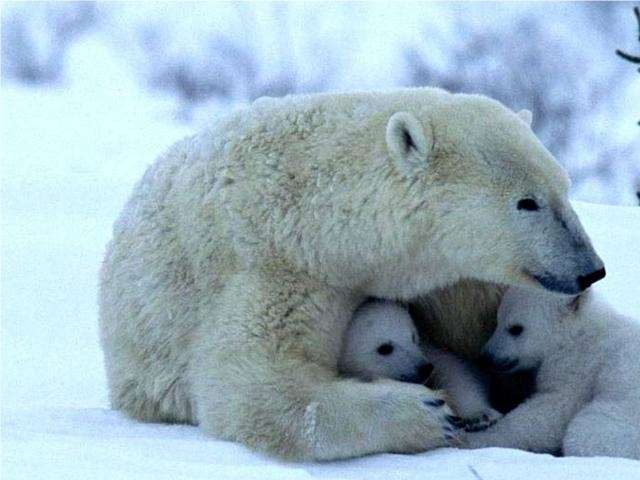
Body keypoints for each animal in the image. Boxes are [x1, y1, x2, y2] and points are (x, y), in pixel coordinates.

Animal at [338, 300, 502, 432]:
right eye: (384, 348)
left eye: (413, 336)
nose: (425, 368)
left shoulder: (428, 350)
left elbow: (453, 372)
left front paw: (479, 416)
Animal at [464, 286, 640, 460]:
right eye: (497, 321)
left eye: (516, 328)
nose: (485, 358)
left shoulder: (578, 366)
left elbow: (552, 410)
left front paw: (473, 438)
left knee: (585, 433)